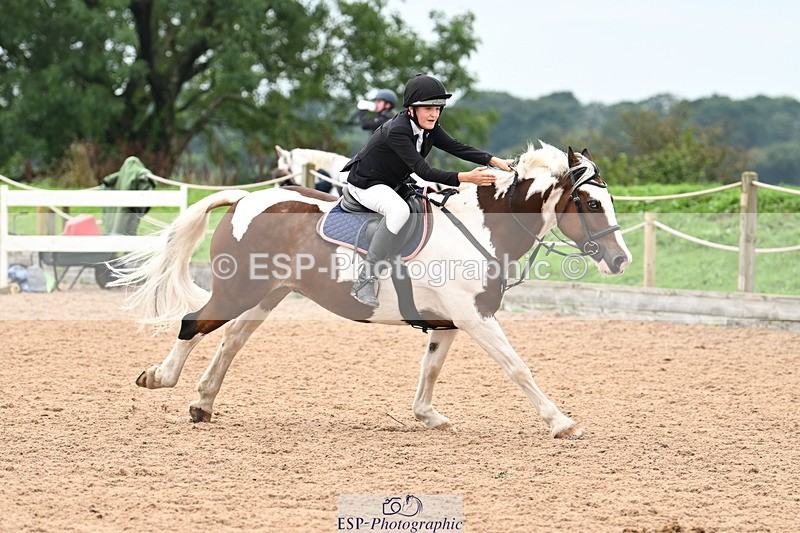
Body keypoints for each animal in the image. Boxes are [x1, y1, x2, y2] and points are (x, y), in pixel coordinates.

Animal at [113, 142, 632, 439]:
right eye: (589, 203)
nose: (620, 259)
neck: (482, 228)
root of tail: (245, 199)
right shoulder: (475, 317)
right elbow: (517, 367)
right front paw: (561, 422)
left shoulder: (450, 322)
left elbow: (430, 369)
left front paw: (427, 416)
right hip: (239, 288)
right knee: (194, 324)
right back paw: (159, 378)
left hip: (269, 293)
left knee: (232, 339)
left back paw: (203, 402)